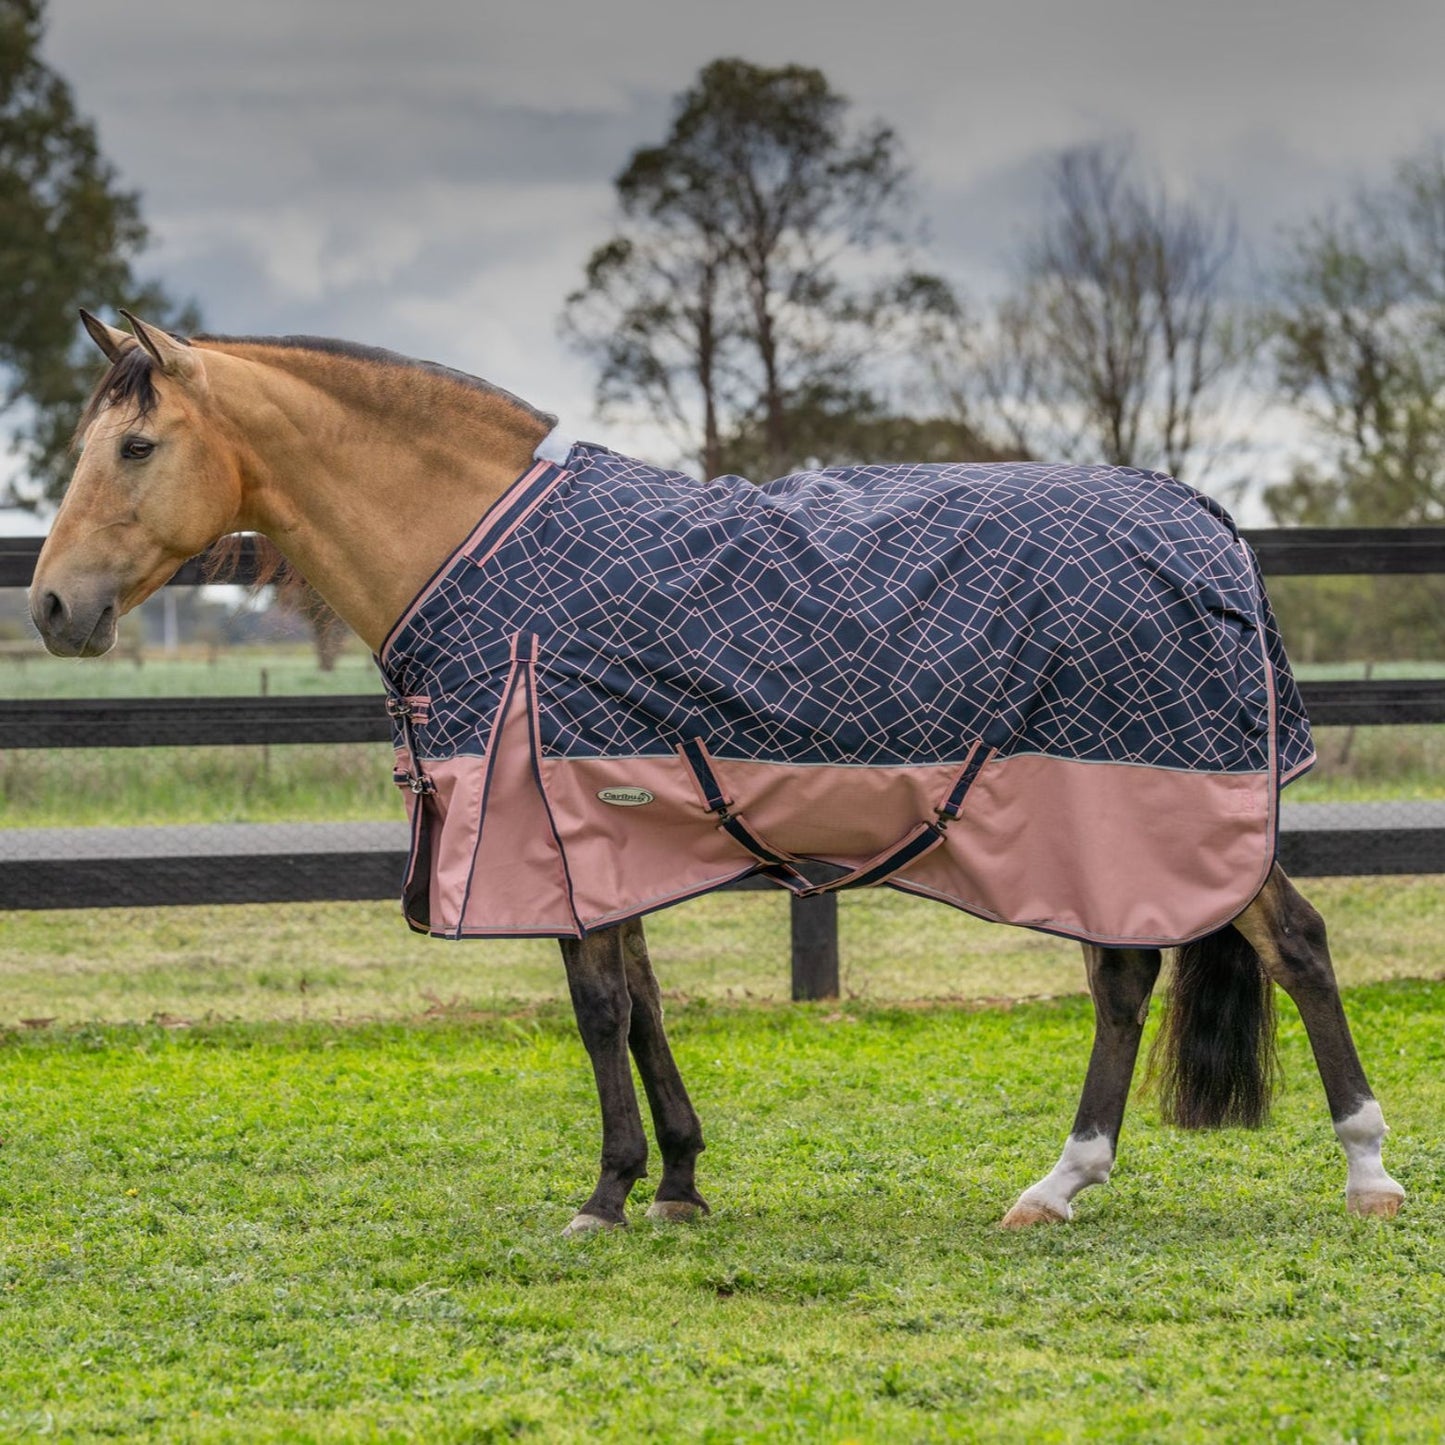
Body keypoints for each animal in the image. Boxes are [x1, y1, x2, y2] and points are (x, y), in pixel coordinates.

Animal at [29, 310, 1406, 1232]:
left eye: (137, 445)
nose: (49, 606)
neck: (477, 550)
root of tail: (1205, 523)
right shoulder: (602, 828)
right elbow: (639, 1000)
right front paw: (680, 1181)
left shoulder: (548, 821)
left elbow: (596, 1006)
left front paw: (606, 1192)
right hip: (1108, 821)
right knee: (1126, 974)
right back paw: (1058, 1182)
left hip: (1151, 801)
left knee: (1292, 943)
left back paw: (1364, 1168)